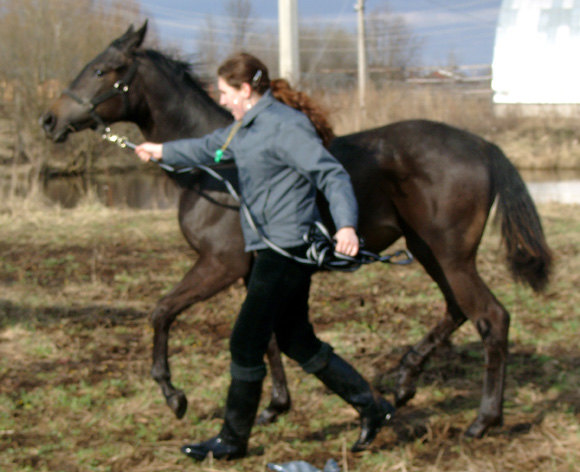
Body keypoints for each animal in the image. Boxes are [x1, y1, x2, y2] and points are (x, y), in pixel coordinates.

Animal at [42, 23, 552, 438]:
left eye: (102, 69)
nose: (50, 120)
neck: (218, 171)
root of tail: (484, 145)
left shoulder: (219, 265)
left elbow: (162, 312)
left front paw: (175, 396)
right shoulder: (255, 271)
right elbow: (266, 337)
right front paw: (274, 407)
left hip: (450, 254)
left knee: (491, 318)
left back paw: (483, 421)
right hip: (427, 250)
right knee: (458, 309)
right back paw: (406, 382)